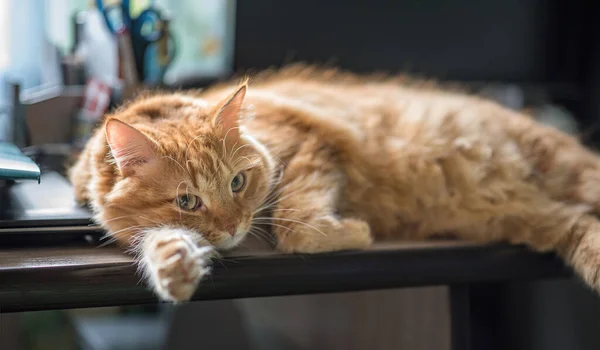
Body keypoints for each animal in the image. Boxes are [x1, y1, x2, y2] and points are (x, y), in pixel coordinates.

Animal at [70, 65, 600, 300]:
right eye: (188, 201)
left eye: (238, 183)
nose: (234, 226)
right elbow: (158, 239)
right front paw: (175, 269)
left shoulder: (310, 150)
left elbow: (298, 228)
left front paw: (356, 232)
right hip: (542, 220)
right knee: (583, 227)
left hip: (569, 171)